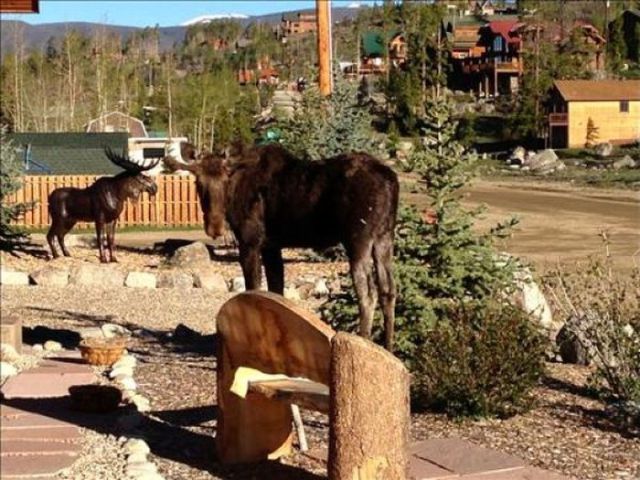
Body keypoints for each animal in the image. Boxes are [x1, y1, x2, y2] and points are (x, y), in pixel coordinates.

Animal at [164, 142, 399, 349]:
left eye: (225, 181)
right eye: (198, 184)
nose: (215, 228)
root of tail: (391, 181)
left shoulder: (250, 242)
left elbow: (253, 289)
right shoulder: (271, 246)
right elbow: (276, 292)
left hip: (358, 240)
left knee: (368, 293)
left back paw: (365, 343)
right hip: (384, 238)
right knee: (388, 290)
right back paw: (388, 349)